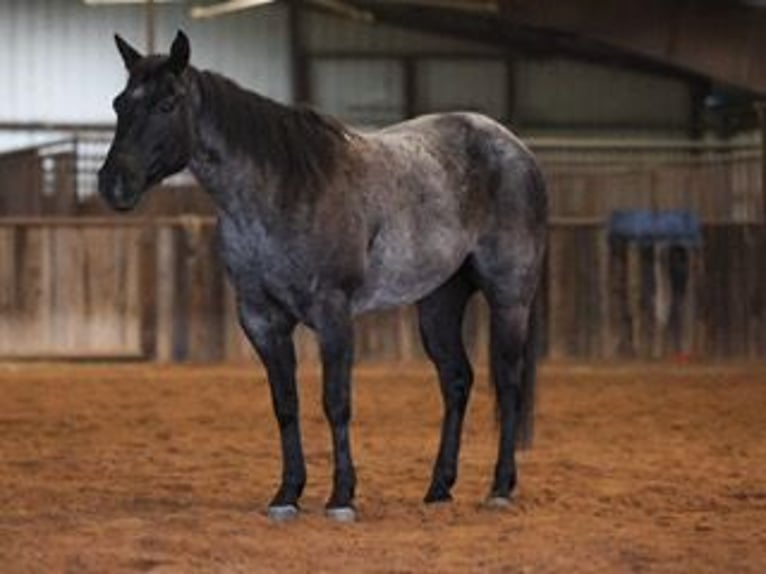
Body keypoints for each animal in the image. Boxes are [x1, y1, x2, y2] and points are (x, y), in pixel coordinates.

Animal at [98, 31, 547, 523]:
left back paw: (500, 488)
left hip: (509, 298)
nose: (113, 184)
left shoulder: (333, 314)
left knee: (507, 382)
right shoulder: (262, 319)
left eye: (166, 104)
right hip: (439, 302)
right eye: (120, 103)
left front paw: (342, 497)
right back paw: (438, 488)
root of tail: (517, 148)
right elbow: (286, 404)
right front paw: (287, 494)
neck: (282, 192)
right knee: (456, 381)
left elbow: (336, 402)